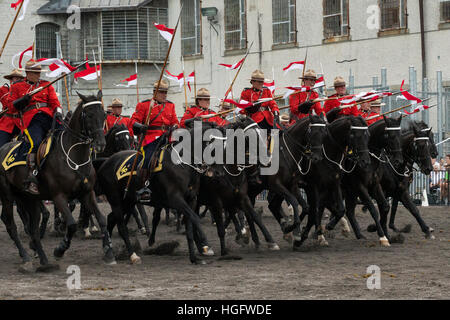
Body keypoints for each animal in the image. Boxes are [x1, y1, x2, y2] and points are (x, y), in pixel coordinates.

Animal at [0, 91, 115, 272]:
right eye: (89, 115)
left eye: (103, 114)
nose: (101, 144)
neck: (75, 156)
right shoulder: (58, 196)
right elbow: (72, 224)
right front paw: (60, 249)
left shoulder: (87, 193)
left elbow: (102, 219)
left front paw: (109, 251)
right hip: (7, 196)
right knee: (10, 224)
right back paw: (26, 256)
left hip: (28, 198)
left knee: (33, 228)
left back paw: (42, 258)